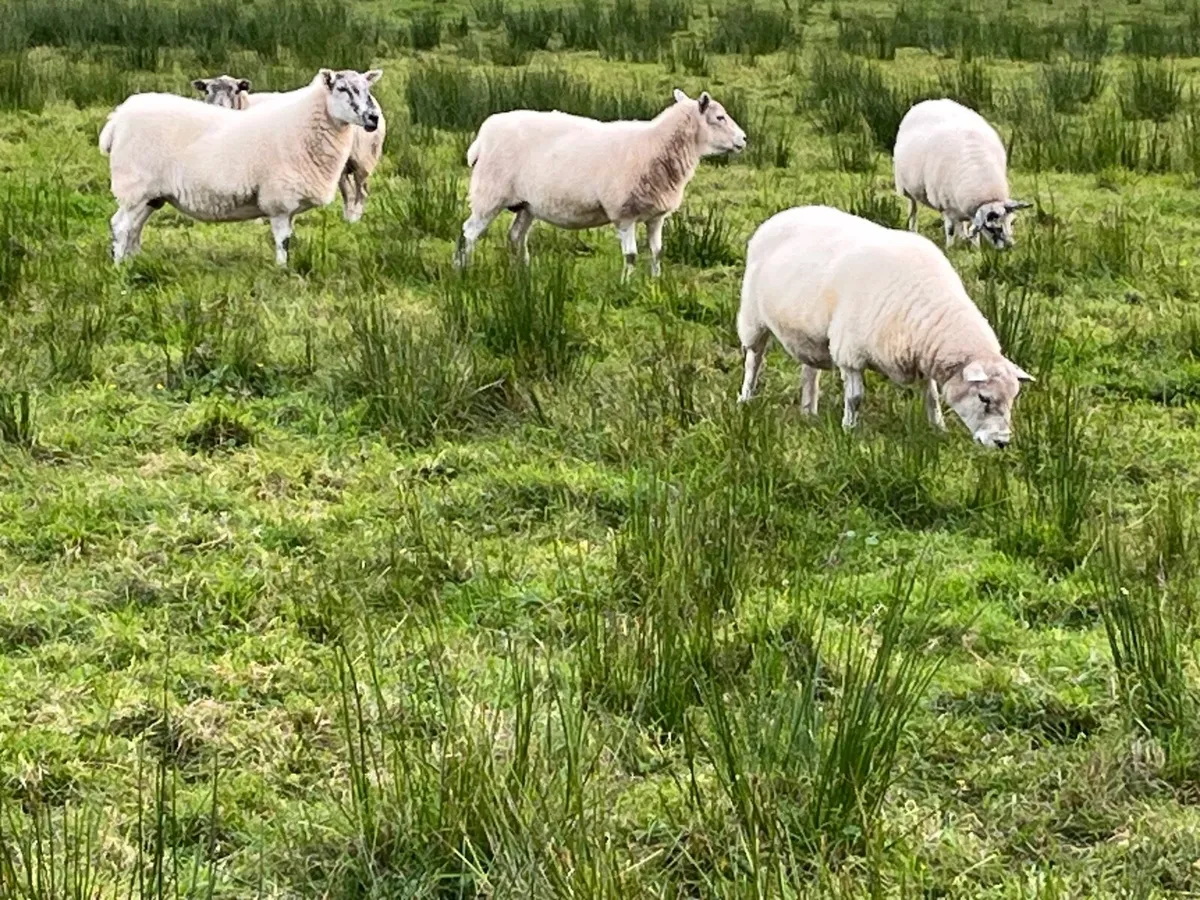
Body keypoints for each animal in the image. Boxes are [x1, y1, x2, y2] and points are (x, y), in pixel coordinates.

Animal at [192, 74, 387, 223]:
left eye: (235, 90)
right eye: (207, 90)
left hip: (364, 157)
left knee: (362, 191)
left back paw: (354, 219)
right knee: (348, 191)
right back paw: (347, 218)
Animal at [455, 88, 746, 278]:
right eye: (719, 117)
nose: (744, 139)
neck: (655, 145)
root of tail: (483, 135)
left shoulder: (656, 216)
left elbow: (657, 252)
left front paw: (656, 282)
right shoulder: (624, 213)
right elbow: (631, 256)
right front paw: (627, 285)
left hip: (527, 204)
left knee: (516, 236)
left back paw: (525, 274)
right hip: (489, 194)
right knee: (468, 232)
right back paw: (461, 271)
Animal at [736, 205, 1033, 449]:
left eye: (1013, 398)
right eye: (984, 398)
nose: (1002, 442)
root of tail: (783, 214)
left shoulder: (920, 356)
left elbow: (932, 397)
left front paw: (938, 428)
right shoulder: (850, 353)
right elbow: (855, 398)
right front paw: (849, 430)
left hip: (811, 335)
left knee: (810, 371)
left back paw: (809, 412)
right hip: (752, 316)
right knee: (754, 359)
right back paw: (745, 399)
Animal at [893, 98, 1031, 250]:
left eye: (1012, 222)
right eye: (992, 228)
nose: (1010, 247)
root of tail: (930, 101)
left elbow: (972, 231)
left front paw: (975, 248)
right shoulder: (945, 207)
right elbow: (950, 229)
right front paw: (950, 248)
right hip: (906, 187)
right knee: (913, 209)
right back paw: (913, 230)